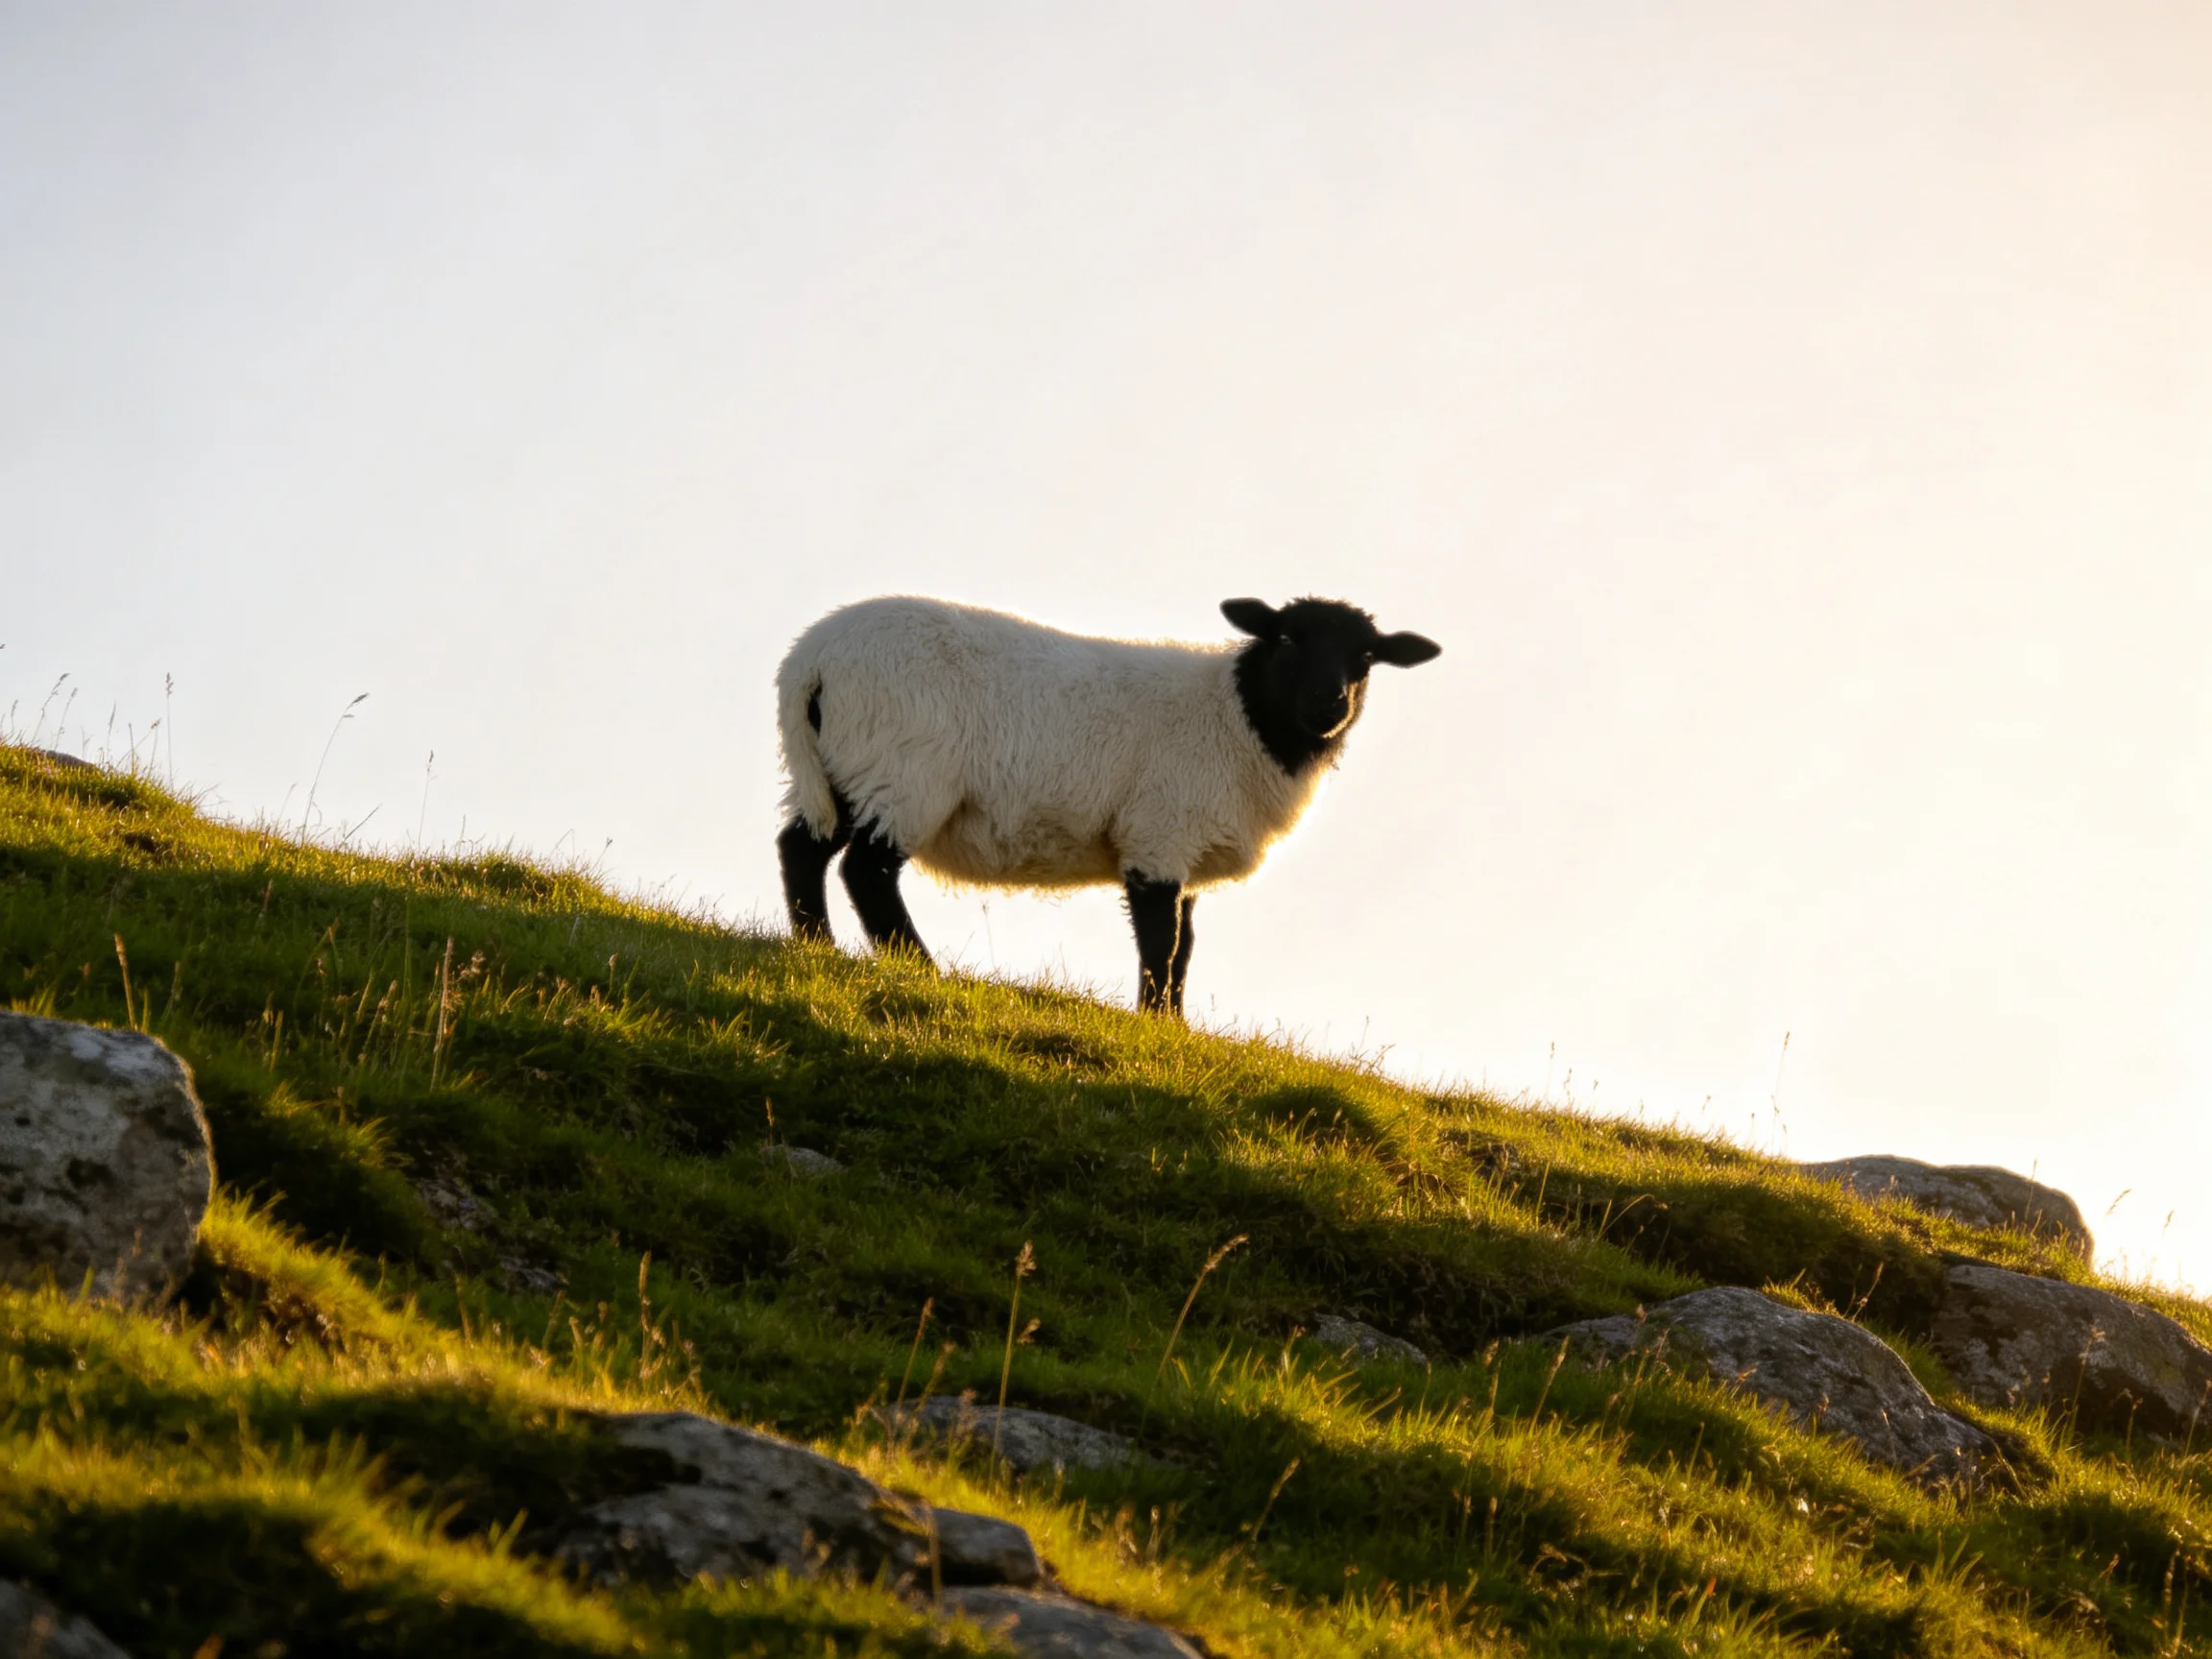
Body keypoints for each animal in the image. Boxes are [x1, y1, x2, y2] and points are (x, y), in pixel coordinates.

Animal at [775, 595, 1440, 1014]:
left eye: (1366, 656)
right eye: (1285, 637)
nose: (1330, 703)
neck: (1238, 717)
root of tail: (811, 658)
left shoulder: (1185, 843)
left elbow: (1185, 945)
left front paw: (1174, 1025)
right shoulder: (1159, 833)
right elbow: (1161, 941)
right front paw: (1154, 1021)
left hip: (840, 767)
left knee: (802, 849)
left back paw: (815, 947)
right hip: (904, 771)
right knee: (867, 870)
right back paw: (918, 967)